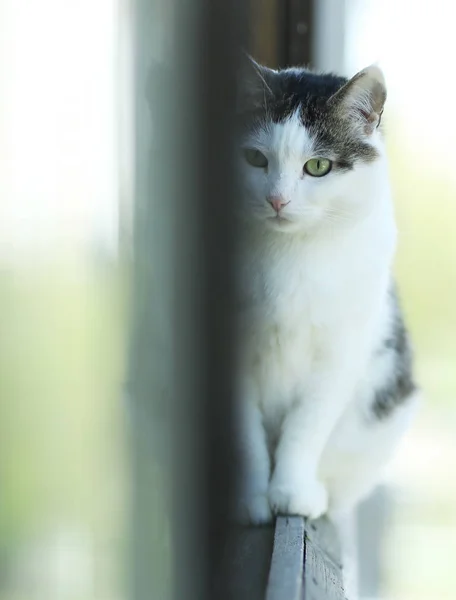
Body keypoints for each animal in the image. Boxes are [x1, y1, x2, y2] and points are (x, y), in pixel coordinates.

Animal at [233, 57, 418, 524]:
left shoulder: (340, 351)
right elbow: (244, 434)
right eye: (254, 158)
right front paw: (249, 499)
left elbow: (306, 426)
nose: (277, 200)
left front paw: (292, 493)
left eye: (318, 167)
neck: (291, 251)